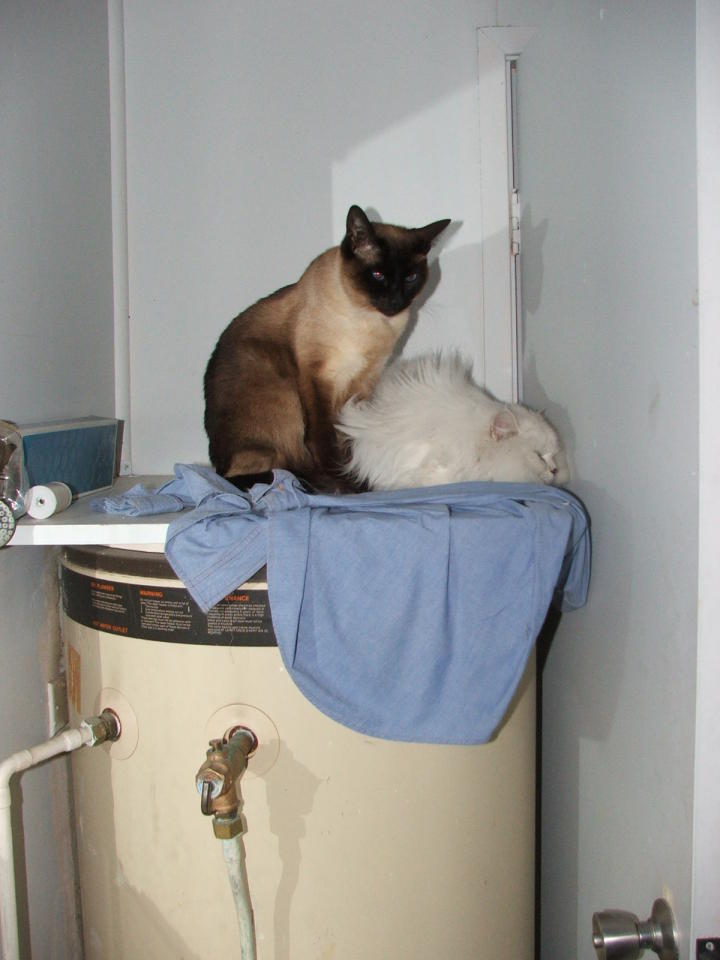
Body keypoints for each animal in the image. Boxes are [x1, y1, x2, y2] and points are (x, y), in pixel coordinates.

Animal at [203, 205, 450, 492]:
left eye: (411, 277)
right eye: (377, 275)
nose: (396, 301)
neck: (372, 321)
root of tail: (219, 466)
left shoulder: (363, 382)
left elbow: (349, 435)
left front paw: (355, 471)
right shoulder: (319, 376)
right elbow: (324, 436)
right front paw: (346, 479)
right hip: (284, 394)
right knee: (273, 469)